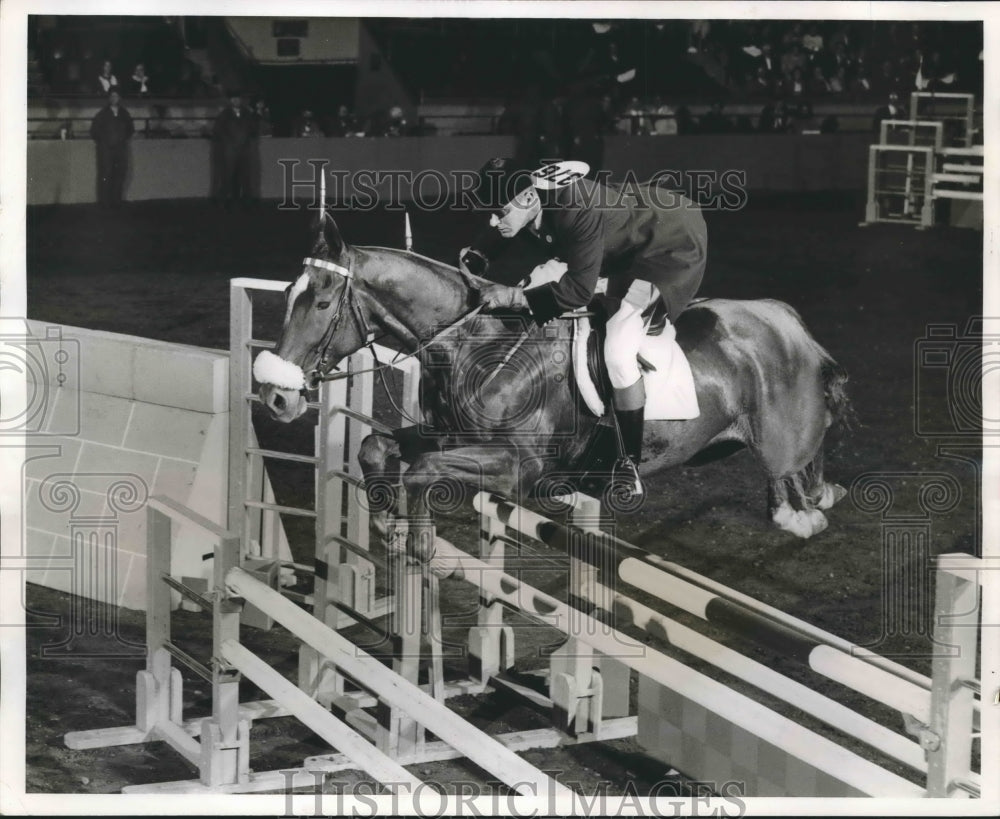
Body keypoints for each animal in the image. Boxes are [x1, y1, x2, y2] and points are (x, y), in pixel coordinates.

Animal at [254, 211, 848, 540]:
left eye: (323, 303)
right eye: (288, 295)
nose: (276, 397)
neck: (475, 345)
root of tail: (788, 322)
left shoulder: (520, 468)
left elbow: (422, 472)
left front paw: (417, 542)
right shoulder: (447, 435)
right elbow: (377, 445)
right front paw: (383, 524)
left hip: (781, 435)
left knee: (800, 459)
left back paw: (801, 509)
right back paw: (814, 497)